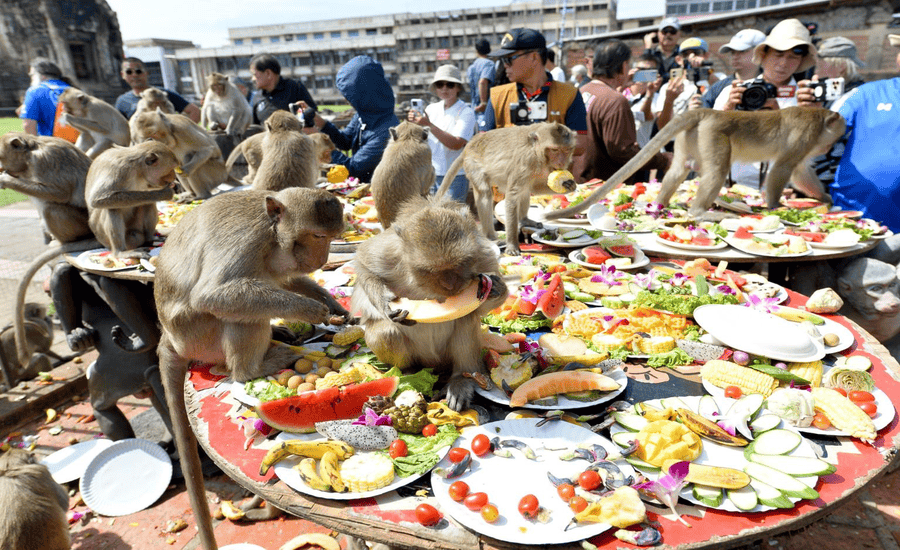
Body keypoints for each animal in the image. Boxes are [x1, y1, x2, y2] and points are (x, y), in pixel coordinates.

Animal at [154, 187, 353, 549]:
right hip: (199, 337)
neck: (273, 236)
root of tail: (169, 339)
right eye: (318, 236)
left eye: (332, 237)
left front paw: (332, 304)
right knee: (238, 312)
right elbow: (212, 296)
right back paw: (255, 366)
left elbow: (286, 279)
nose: (322, 259)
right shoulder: (247, 239)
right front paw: (313, 309)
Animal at [351, 195, 508, 412]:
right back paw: (409, 372)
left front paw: (496, 289)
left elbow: (480, 307)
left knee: (466, 320)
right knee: (386, 333)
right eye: (431, 271)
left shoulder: (484, 255)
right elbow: (364, 264)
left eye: (461, 263)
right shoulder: (388, 253)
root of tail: (434, 365)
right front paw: (385, 302)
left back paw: (461, 379)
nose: (450, 285)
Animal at [435, 122, 577, 256]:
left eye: (566, 150)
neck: (537, 152)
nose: (561, 163)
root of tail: (470, 144)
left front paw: (569, 186)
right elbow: (512, 198)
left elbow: (534, 187)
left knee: (524, 191)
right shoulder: (525, 161)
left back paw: (524, 220)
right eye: (555, 150)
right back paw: (491, 237)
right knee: (484, 194)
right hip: (472, 164)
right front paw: (512, 245)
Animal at [543, 107, 847, 223]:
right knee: (718, 171)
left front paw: (824, 197)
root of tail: (708, 111)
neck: (817, 115)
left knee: (680, 169)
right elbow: (785, 168)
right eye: (837, 136)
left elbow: (801, 170)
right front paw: (775, 205)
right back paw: (701, 212)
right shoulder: (806, 134)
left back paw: (661, 203)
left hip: (691, 136)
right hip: (714, 133)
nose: (830, 149)